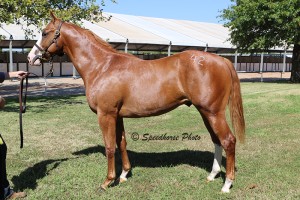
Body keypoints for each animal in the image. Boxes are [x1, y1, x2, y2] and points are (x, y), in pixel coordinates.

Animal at [27, 12, 245, 194]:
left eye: (44, 33)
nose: (31, 57)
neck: (102, 66)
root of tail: (221, 60)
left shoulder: (105, 115)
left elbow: (109, 146)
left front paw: (107, 181)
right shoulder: (117, 116)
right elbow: (121, 142)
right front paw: (124, 174)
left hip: (213, 113)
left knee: (228, 141)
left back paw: (227, 184)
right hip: (205, 112)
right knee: (217, 141)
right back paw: (212, 175)